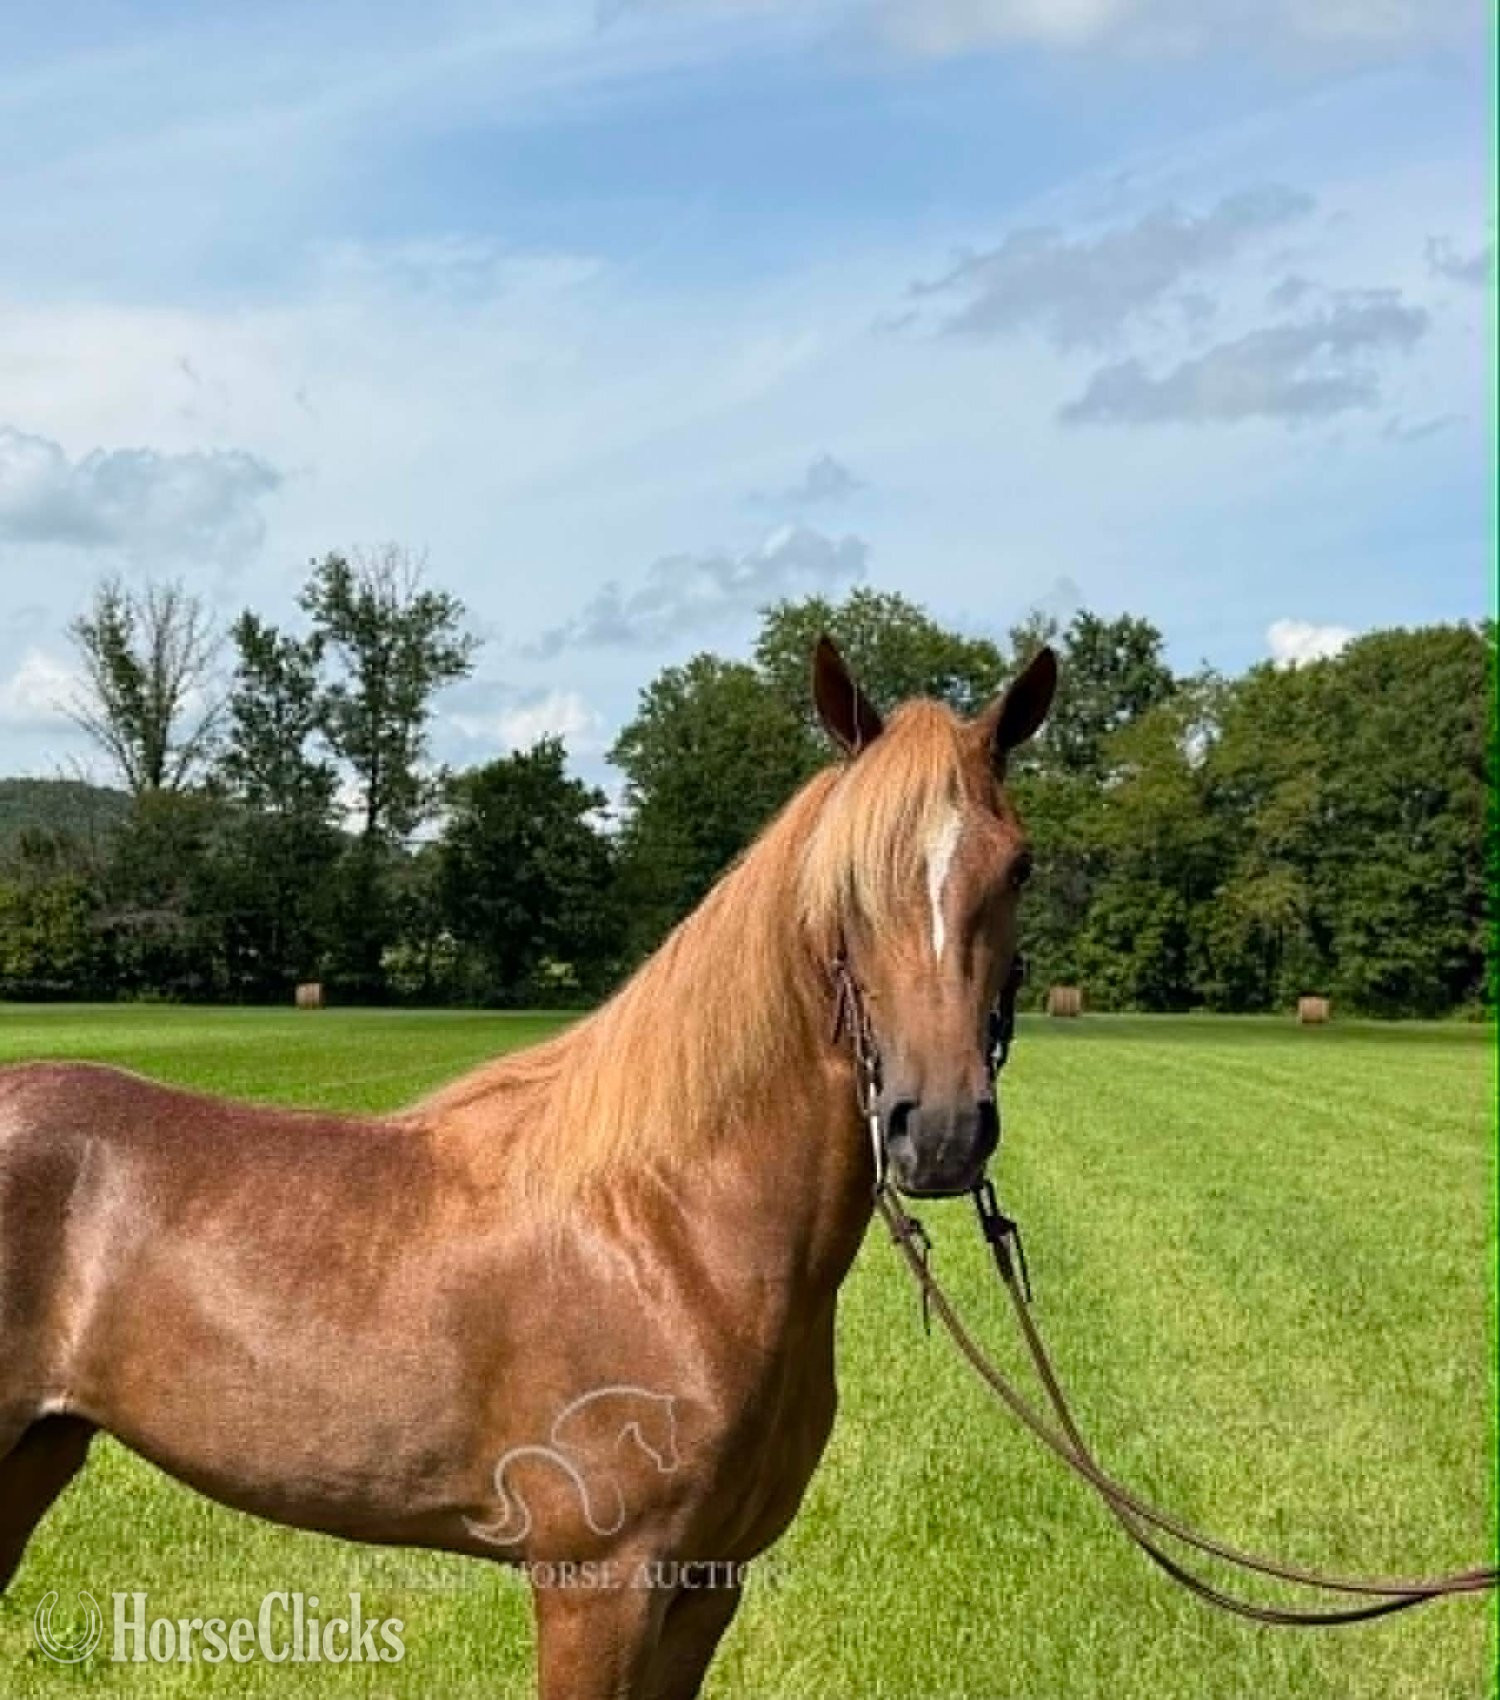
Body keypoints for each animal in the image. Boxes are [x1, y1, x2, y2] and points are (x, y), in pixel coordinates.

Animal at [0, 636, 1057, 1699]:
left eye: (1019, 867)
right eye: (848, 882)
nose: (943, 1129)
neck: (670, 1232)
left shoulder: (708, 1588)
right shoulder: (598, 1584)